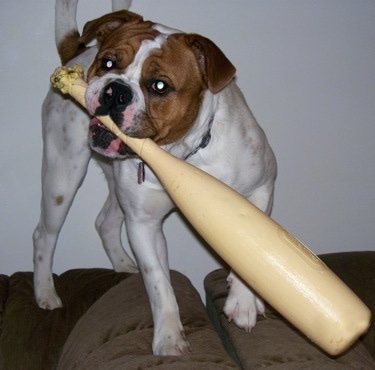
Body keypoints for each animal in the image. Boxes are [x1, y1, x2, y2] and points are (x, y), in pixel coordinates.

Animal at [33, 0, 278, 354]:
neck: (182, 154)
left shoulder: (261, 187)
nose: (116, 91)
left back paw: (123, 265)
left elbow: (250, 249)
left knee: (105, 222)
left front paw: (243, 302)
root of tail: (76, 53)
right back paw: (45, 292)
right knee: (45, 235)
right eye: (108, 63)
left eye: (159, 86)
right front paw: (169, 338)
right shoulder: (143, 224)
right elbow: (160, 282)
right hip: (63, 174)